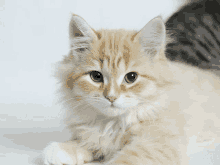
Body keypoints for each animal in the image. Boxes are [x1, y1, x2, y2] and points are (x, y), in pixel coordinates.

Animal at [42, 13, 220, 165]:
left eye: (131, 77)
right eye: (96, 76)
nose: (111, 97)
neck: (114, 124)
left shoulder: (156, 144)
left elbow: (125, 159)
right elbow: (83, 142)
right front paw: (60, 150)